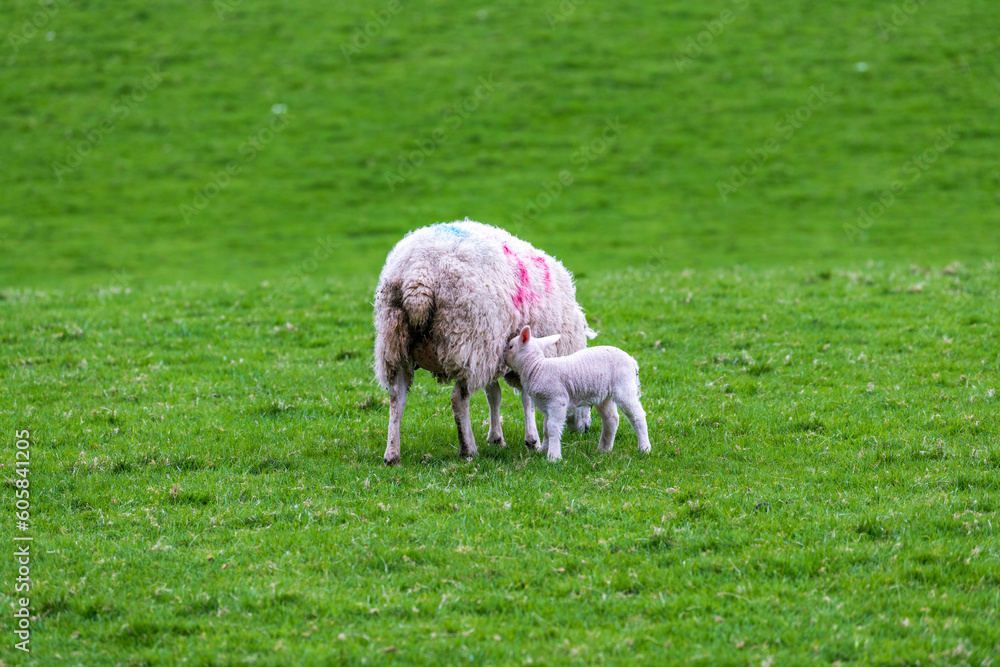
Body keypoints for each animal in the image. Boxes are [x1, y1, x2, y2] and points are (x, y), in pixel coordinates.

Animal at [373, 219, 595, 464]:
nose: (586, 428)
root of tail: (418, 277)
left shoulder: (494, 354)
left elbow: (494, 395)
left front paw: (497, 438)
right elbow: (526, 398)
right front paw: (532, 441)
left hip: (396, 344)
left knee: (397, 398)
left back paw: (392, 454)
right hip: (465, 342)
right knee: (458, 399)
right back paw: (468, 449)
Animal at [504, 325, 651, 462]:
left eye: (511, 346)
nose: (504, 359)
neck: (537, 367)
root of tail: (632, 361)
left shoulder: (557, 402)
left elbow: (552, 428)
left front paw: (553, 457)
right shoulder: (547, 405)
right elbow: (546, 429)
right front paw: (543, 451)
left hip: (625, 387)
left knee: (638, 416)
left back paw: (644, 448)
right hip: (604, 395)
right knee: (611, 419)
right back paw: (604, 449)